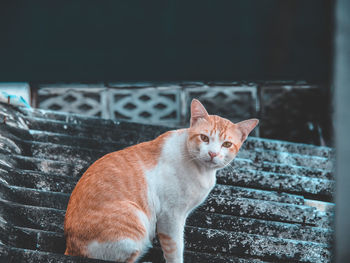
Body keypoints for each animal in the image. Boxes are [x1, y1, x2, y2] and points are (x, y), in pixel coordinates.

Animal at [64, 99, 258, 263]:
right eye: (204, 138)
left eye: (226, 144)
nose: (212, 153)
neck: (201, 171)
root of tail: (70, 246)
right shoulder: (170, 216)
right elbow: (175, 249)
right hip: (137, 226)